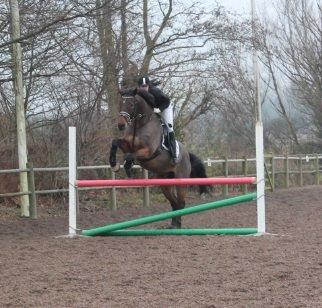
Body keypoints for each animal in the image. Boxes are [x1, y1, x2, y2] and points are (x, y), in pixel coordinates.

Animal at [108, 89, 209, 229]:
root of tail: (187, 154)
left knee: (181, 203)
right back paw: (173, 225)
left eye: (132, 104)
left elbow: (130, 155)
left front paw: (128, 166)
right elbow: (115, 142)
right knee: (174, 203)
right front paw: (114, 164)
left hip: (180, 180)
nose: (121, 125)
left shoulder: (149, 151)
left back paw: (178, 225)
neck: (140, 125)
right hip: (165, 183)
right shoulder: (126, 145)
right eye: (120, 103)